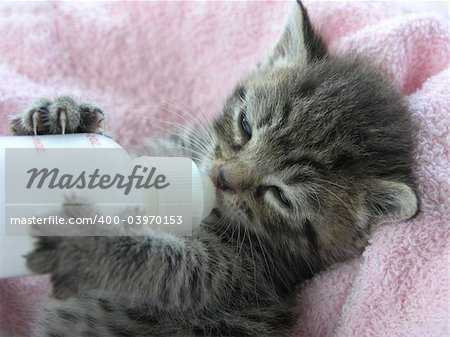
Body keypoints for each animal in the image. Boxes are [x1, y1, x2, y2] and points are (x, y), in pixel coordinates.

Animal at [9, 1, 418, 334]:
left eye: (281, 196)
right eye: (246, 126)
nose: (221, 177)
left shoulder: (233, 273)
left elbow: (169, 264)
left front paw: (86, 244)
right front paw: (62, 114)